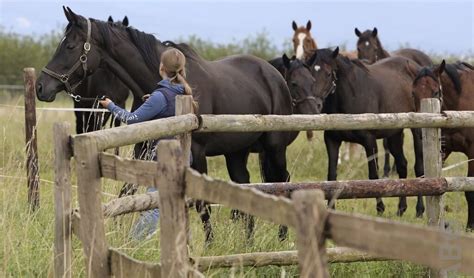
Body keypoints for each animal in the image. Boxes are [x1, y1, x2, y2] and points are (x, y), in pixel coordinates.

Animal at [35, 7, 320, 243]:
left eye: (70, 46)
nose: (41, 86)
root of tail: (274, 76)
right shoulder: (144, 150)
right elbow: (127, 192)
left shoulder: (197, 153)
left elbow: (202, 202)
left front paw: (208, 245)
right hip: (236, 153)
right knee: (245, 187)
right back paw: (248, 243)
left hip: (274, 148)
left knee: (282, 184)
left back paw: (282, 238)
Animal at [308, 47, 426, 217]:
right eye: (311, 72)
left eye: (329, 73)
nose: (316, 105)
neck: (352, 95)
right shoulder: (332, 140)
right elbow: (331, 176)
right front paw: (331, 208)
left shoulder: (369, 141)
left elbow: (373, 176)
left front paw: (380, 208)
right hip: (394, 135)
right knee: (402, 165)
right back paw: (401, 209)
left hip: (417, 131)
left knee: (419, 169)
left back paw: (419, 210)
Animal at [412, 59, 474, 229]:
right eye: (413, 93)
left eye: (435, 92)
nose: (420, 130)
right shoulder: (443, 149)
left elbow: (470, 191)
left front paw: (470, 226)